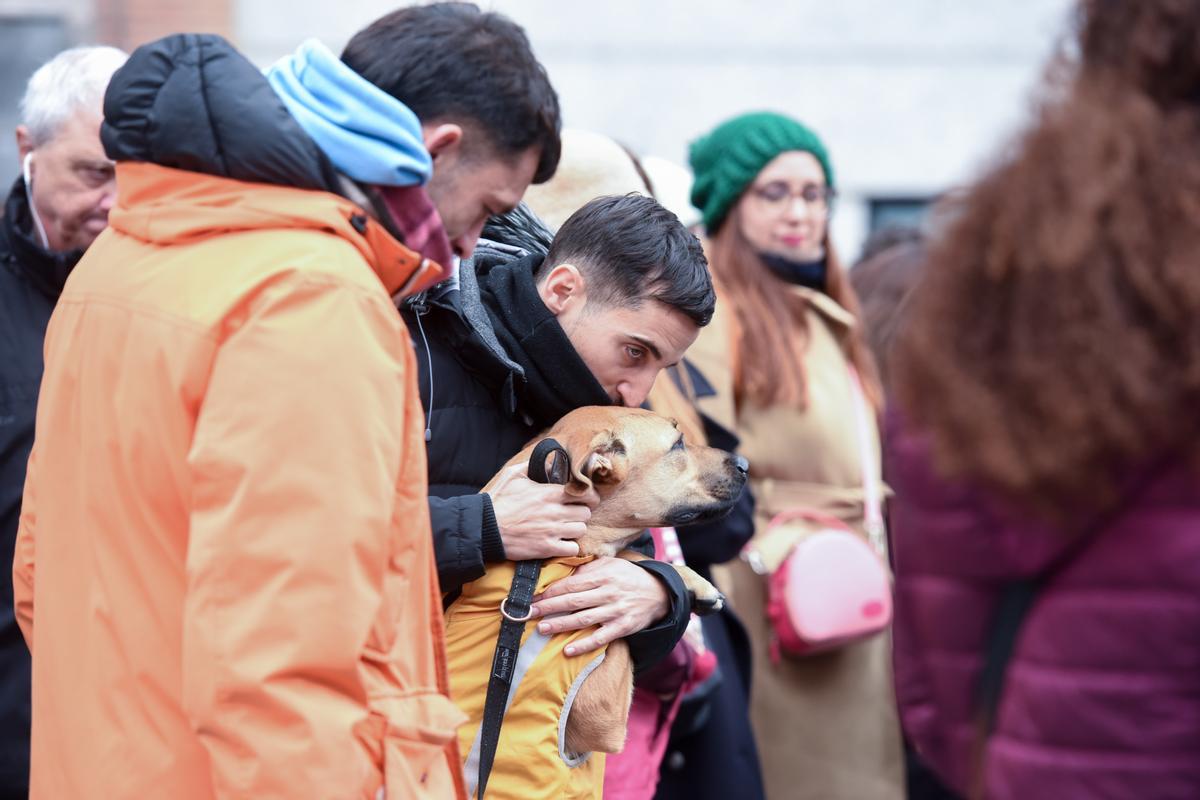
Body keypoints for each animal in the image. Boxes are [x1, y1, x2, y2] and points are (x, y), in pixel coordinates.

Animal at [477, 407, 748, 758]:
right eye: (677, 444)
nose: (745, 464)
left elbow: (628, 553)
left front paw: (695, 583)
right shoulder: (604, 715)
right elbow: (622, 557)